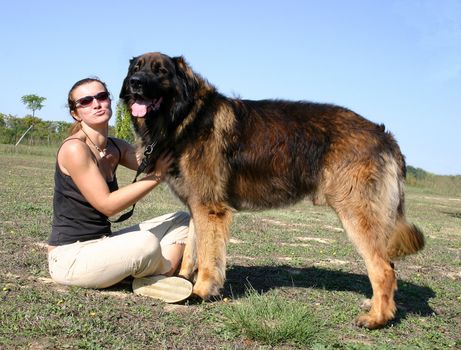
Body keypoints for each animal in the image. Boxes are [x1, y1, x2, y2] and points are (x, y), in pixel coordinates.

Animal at [119, 51, 424, 328]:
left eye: (160, 71)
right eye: (136, 67)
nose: (135, 82)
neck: (185, 117)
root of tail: (385, 136)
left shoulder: (210, 209)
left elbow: (207, 257)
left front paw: (201, 291)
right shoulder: (197, 207)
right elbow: (192, 253)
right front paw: (183, 281)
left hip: (356, 214)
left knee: (384, 269)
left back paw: (376, 319)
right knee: (387, 266)